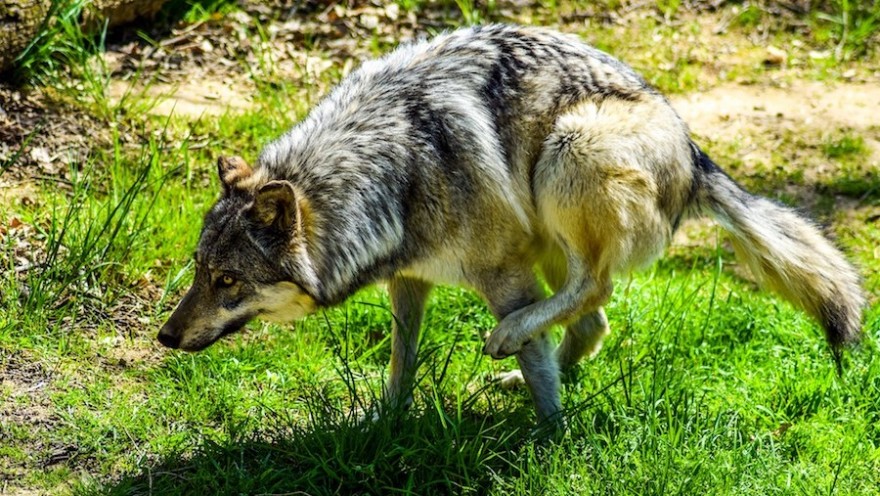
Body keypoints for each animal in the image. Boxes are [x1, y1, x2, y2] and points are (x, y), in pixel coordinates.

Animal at [156, 23, 860, 426]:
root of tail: (693, 152)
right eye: (198, 271)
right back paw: (517, 380)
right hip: (548, 227)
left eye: (227, 281)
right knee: (591, 320)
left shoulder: (503, 276)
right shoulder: (409, 279)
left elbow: (540, 363)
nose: (164, 337)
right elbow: (401, 361)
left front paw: (551, 439)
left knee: (590, 293)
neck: (392, 168)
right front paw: (384, 425)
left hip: (568, 155)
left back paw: (513, 356)